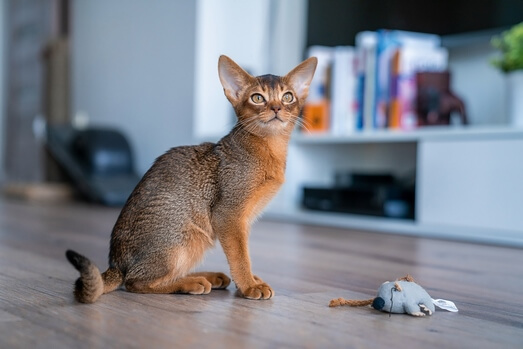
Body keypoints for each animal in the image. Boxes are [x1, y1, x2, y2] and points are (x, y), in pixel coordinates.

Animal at [66, 53, 320, 302]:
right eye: (257, 98)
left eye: (288, 97)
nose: (277, 108)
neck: (268, 148)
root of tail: (116, 265)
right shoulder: (229, 215)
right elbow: (240, 255)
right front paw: (249, 285)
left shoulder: (244, 221)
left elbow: (242, 252)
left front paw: (249, 281)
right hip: (186, 237)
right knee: (135, 282)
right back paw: (191, 283)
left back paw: (210, 277)